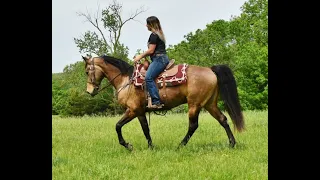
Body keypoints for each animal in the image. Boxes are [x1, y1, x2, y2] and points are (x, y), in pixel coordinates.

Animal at [81, 54, 244, 150]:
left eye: (87, 71)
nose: (90, 91)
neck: (126, 80)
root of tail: (210, 70)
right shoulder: (138, 111)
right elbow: (141, 128)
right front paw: (147, 146)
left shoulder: (134, 110)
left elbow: (121, 126)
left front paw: (130, 145)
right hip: (209, 104)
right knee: (223, 119)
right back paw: (232, 143)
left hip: (194, 105)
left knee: (193, 126)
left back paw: (180, 146)